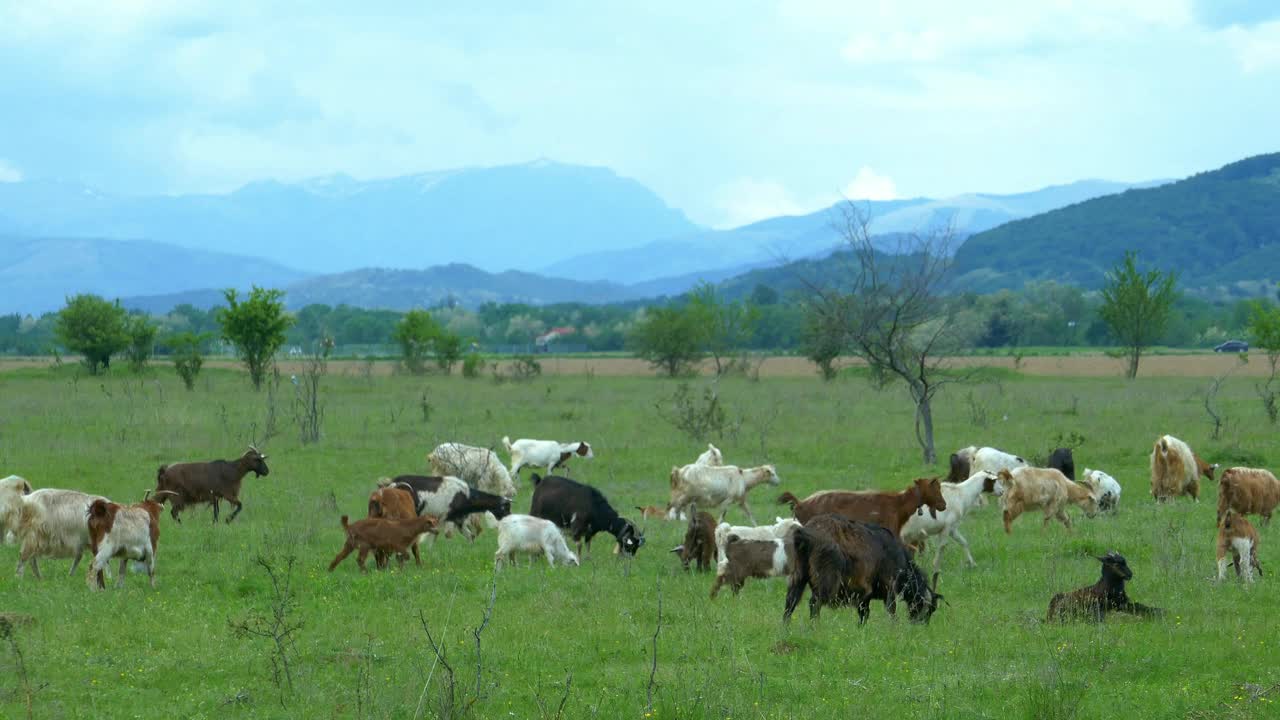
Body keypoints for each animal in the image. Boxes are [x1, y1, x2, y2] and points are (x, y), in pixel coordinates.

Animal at [778, 509, 942, 622]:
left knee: (790, 602)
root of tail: (806, 533)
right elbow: (891, 611)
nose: (920, 625)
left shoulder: (865, 596)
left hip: (798, 574)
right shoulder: (889, 587)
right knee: (814, 603)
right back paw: (814, 628)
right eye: (929, 609)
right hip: (826, 577)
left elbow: (864, 614)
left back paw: (785, 629)